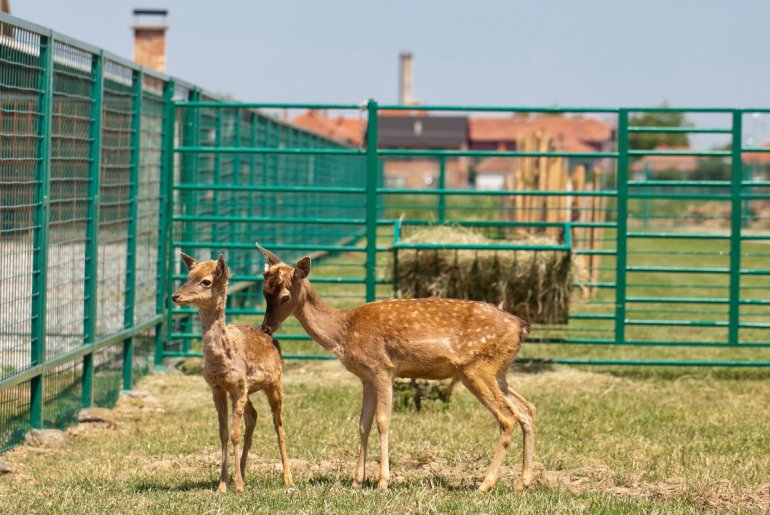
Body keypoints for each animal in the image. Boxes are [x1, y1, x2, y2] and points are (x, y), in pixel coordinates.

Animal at [172, 253, 292, 492]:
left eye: (206, 281)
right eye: (188, 276)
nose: (175, 296)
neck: (222, 360)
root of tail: (271, 337)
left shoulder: (238, 386)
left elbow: (235, 434)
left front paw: (236, 486)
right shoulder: (218, 387)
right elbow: (224, 433)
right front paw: (222, 485)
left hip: (274, 382)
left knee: (279, 423)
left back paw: (287, 478)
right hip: (249, 389)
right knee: (253, 416)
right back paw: (244, 472)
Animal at [258, 244, 536, 494]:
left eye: (284, 296)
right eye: (264, 292)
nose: (265, 328)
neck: (344, 332)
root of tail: (522, 327)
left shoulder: (382, 368)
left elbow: (383, 421)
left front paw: (383, 482)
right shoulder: (366, 377)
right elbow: (363, 423)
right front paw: (357, 481)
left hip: (476, 369)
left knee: (508, 417)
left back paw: (485, 485)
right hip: (498, 371)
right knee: (527, 410)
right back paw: (521, 483)